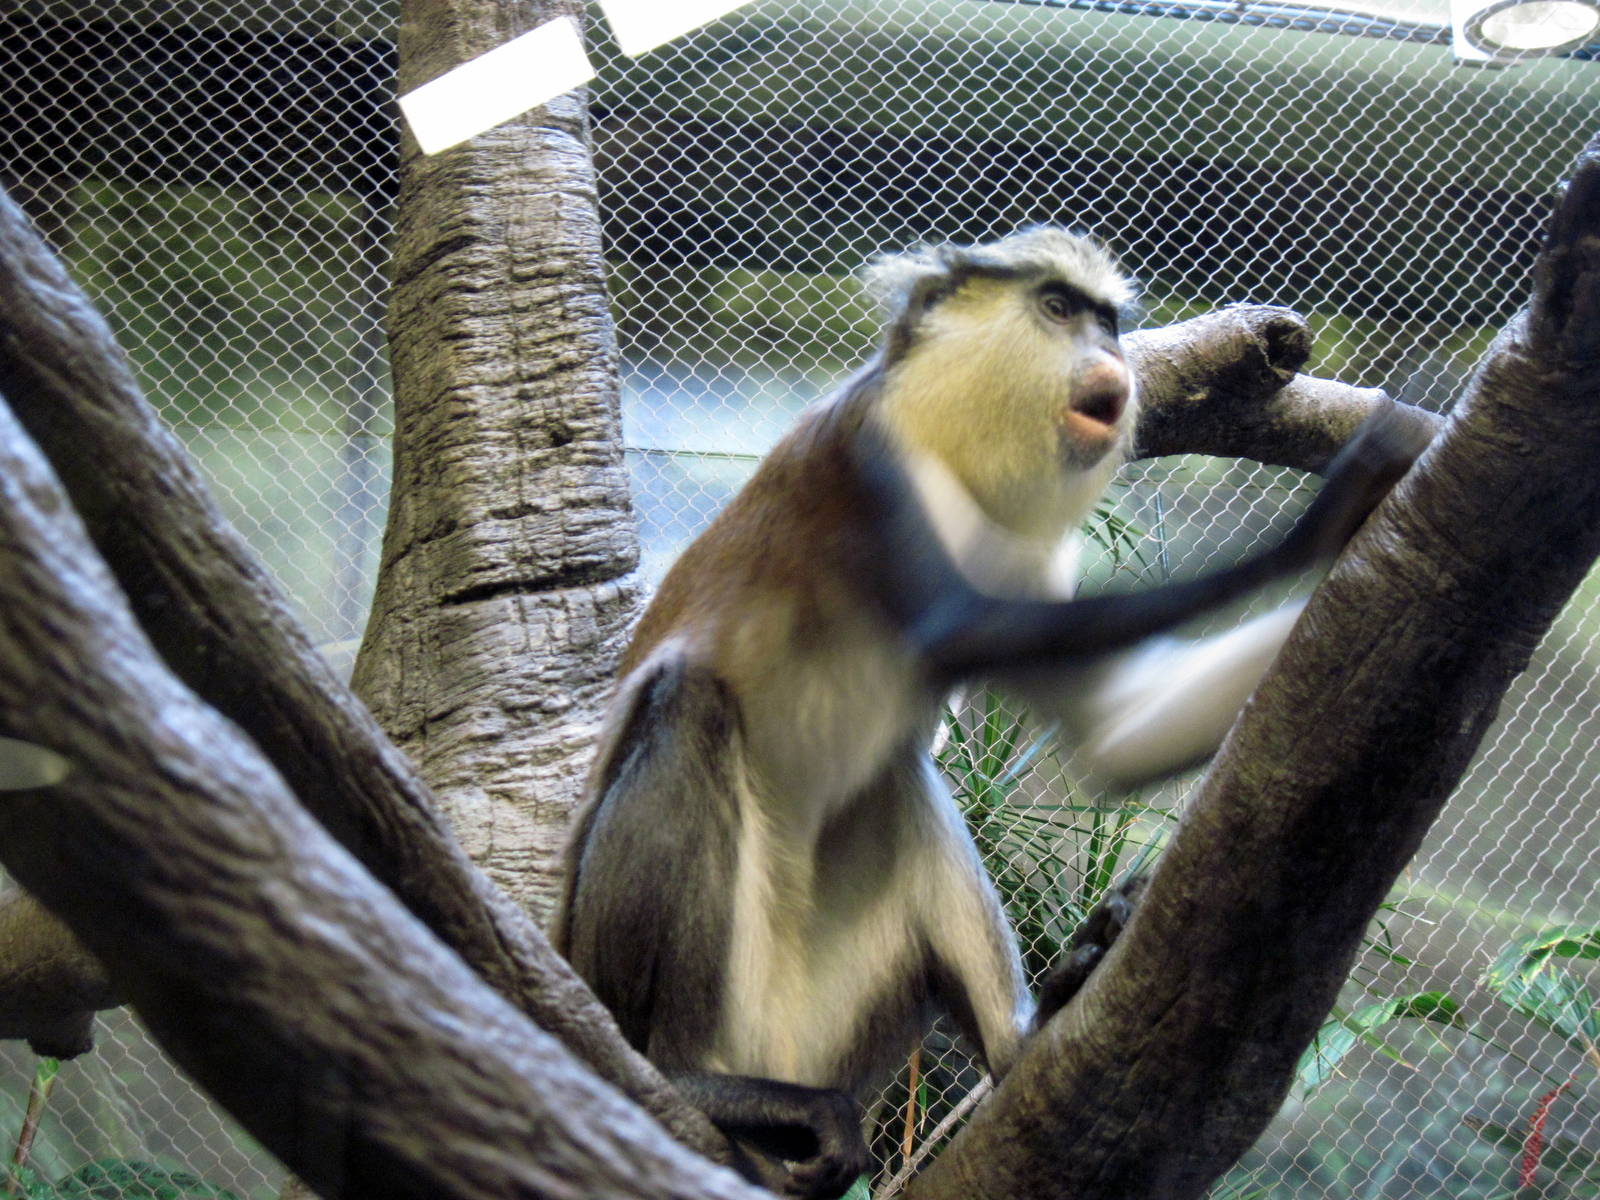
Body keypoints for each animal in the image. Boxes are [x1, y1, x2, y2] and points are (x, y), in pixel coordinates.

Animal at [552, 228, 1421, 1198]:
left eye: (1108, 320)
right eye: (1058, 308)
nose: (1110, 357)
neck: (960, 453)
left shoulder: (1037, 555)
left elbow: (1119, 734)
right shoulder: (867, 450)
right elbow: (963, 630)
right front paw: (1334, 508)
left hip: (820, 1028)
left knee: (897, 781)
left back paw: (1026, 1036)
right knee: (688, 705)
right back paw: (687, 1079)